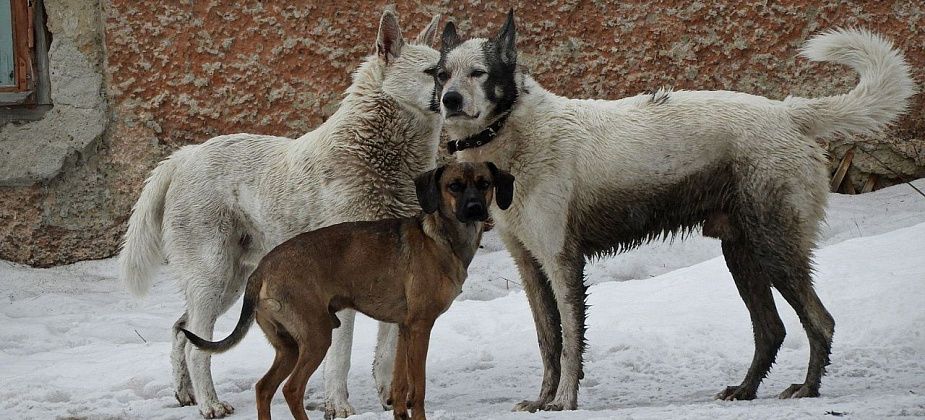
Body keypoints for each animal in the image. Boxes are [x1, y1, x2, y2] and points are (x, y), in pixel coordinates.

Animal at [119, 10, 444, 420]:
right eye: (435, 73)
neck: (378, 156)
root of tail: (184, 156)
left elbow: (385, 354)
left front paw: (389, 401)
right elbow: (341, 358)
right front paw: (338, 406)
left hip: (231, 284)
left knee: (182, 330)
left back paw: (186, 394)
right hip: (213, 277)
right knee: (196, 346)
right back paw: (210, 404)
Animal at [180, 162, 512, 420]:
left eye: (485, 183)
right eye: (454, 186)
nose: (475, 209)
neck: (441, 239)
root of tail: (262, 268)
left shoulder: (404, 328)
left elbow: (400, 384)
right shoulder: (420, 326)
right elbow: (417, 387)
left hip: (288, 347)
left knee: (264, 388)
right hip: (316, 337)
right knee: (291, 389)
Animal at [436, 10, 912, 414]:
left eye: (478, 73)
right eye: (442, 75)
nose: (449, 100)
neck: (515, 131)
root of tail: (789, 112)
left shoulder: (563, 263)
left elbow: (571, 343)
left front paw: (565, 401)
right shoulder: (530, 267)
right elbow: (548, 341)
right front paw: (541, 400)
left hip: (776, 250)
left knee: (820, 321)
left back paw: (807, 389)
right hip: (741, 254)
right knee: (771, 330)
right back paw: (745, 390)